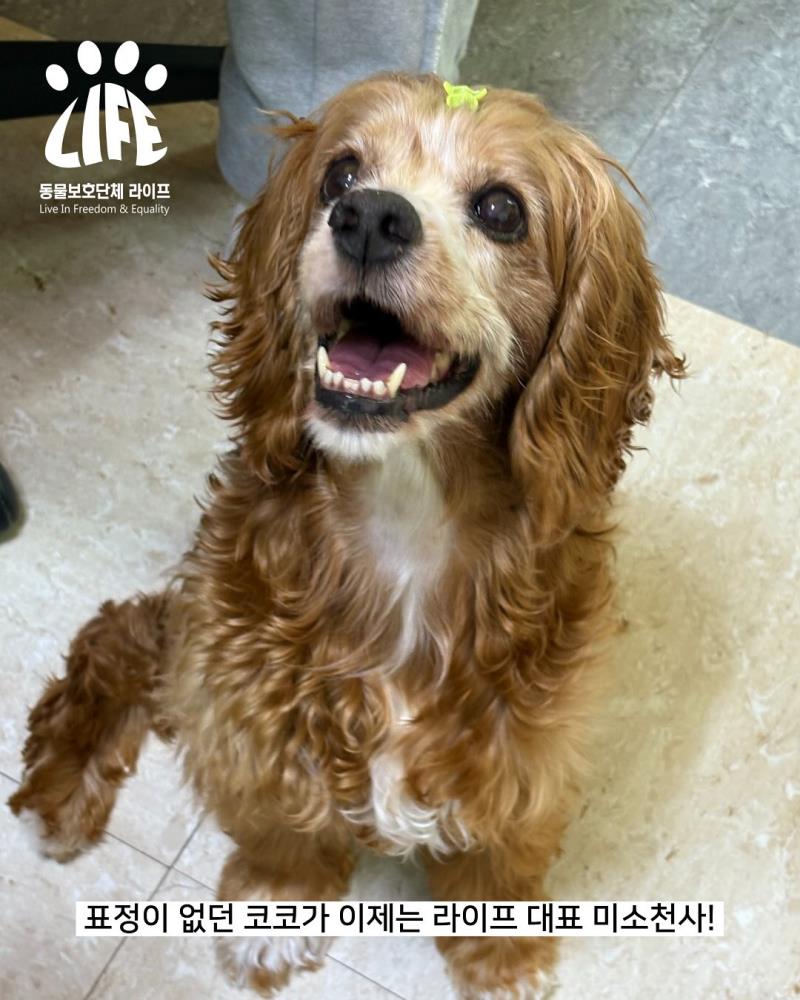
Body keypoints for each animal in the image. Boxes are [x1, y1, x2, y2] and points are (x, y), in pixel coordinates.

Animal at [9, 73, 684, 997]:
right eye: (339, 174)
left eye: (502, 209)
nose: (367, 216)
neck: (406, 515)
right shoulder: (254, 705)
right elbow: (284, 829)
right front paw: (277, 905)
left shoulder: (530, 742)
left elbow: (502, 855)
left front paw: (501, 953)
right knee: (116, 633)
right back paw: (60, 789)